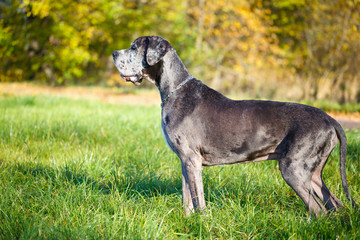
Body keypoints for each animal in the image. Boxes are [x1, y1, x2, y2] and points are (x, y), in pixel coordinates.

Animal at [113, 35, 358, 218]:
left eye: (134, 48)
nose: (114, 54)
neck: (174, 89)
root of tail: (330, 119)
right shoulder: (185, 160)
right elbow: (186, 197)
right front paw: (187, 220)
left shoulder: (192, 159)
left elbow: (198, 198)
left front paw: (202, 222)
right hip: (312, 172)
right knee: (334, 204)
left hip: (294, 168)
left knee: (318, 210)